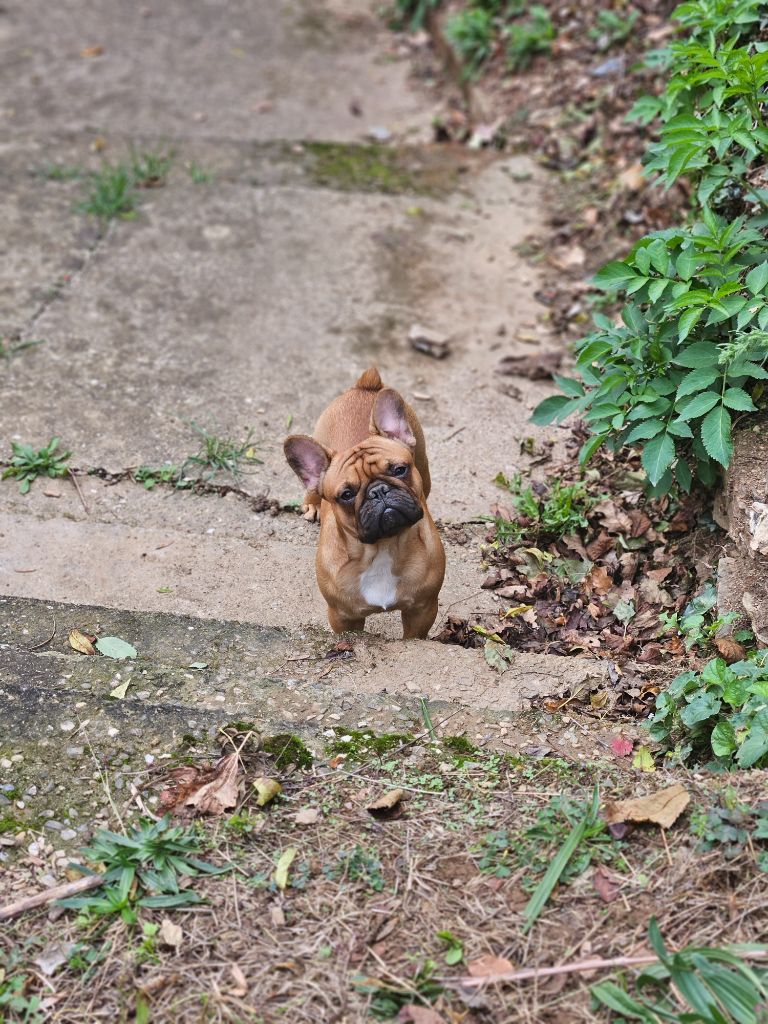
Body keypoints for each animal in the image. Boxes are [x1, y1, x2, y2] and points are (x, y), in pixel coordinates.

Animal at [286, 368, 444, 638]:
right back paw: (312, 503)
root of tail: (365, 386)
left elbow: (413, 635)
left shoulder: (422, 609)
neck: (382, 548)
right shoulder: (343, 617)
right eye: (347, 495)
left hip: (423, 462)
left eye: (400, 469)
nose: (378, 491)